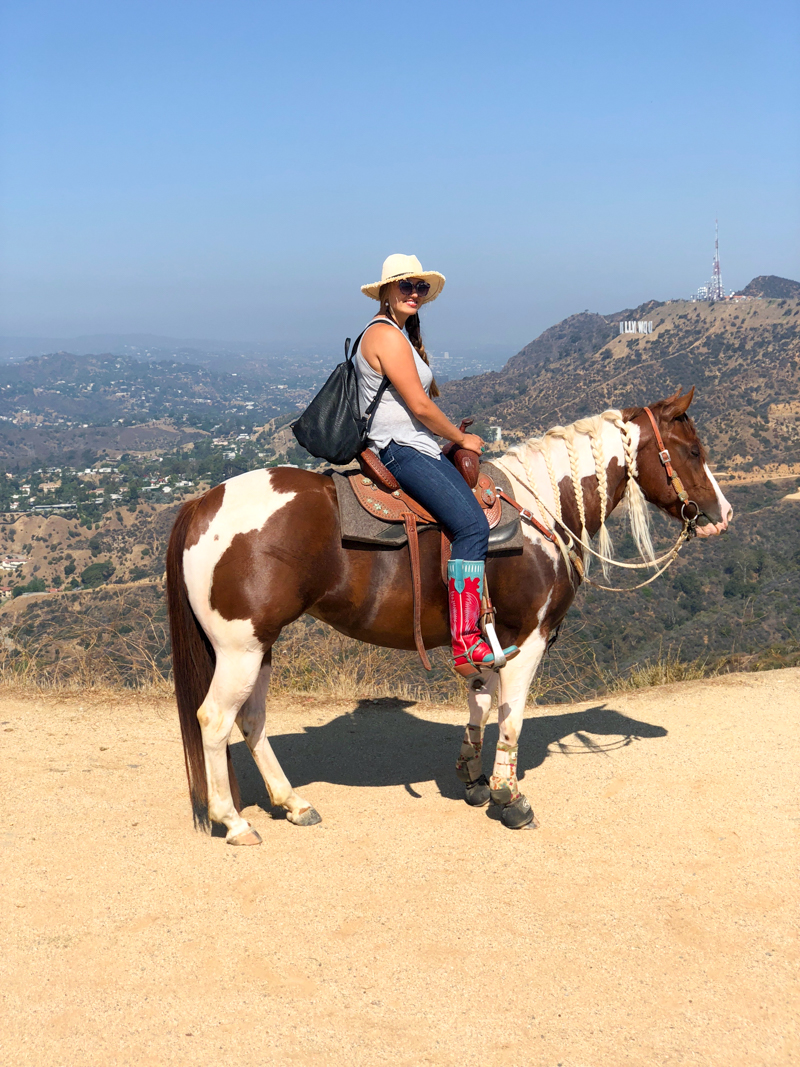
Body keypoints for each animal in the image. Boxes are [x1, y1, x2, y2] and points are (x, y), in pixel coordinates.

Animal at [167, 388, 733, 845]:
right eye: (694, 452)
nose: (723, 516)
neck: (542, 510)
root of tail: (203, 503)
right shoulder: (529, 638)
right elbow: (512, 717)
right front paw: (510, 798)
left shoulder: (488, 637)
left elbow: (479, 701)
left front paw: (474, 779)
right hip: (239, 648)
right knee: (213, 718)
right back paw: (234, 822)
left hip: (260, 646)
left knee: (252, 720)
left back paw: (293, 803)